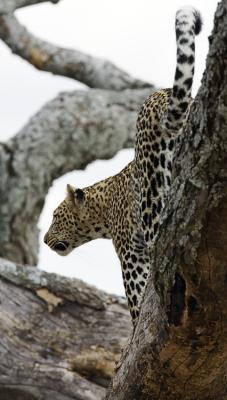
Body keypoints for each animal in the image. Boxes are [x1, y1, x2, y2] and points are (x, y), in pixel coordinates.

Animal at [44, 6, 202, 324]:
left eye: (55, 216)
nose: (44, 240)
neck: (103, 205)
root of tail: (166, 97)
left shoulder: (131, 251)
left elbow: (135, 295)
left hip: (153, 195)